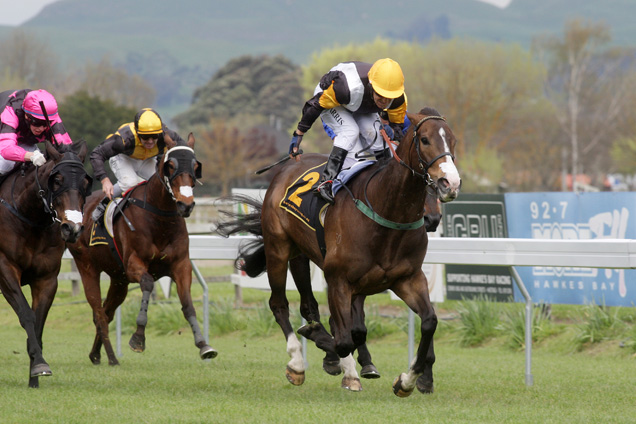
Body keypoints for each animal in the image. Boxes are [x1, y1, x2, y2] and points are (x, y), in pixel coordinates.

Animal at [0, 140, 92, 388]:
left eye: (86, 182)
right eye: (57, 180)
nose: (72, 228)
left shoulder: (47, 279)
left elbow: (39, 321)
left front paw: (35, 373)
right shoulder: (6, 269)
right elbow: (26, 315)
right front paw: (39, 364)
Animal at [66, 133, 217, 368]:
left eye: (195, 166)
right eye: (170, 166)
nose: (186, 205)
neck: (160, 219)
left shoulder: (181, 265)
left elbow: (187, 304)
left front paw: (204, 345)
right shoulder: (133, 264)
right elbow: (147, 283)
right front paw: (138, 338)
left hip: (118, 279)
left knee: (107, 312)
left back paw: (96, 354)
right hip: (87, 267)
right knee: (99, 313)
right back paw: (111, 357)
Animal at [217, 107, 458, 394]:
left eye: (453, 141)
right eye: (425, 140)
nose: (449, 183)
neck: (385, 210)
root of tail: (287, 166)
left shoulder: (407, 278)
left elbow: (429, 321)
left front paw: (409, 379)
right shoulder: (339, 279)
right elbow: (345, 338)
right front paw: (332, 353)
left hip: (301, 255)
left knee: (310, 305)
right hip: (278, 248)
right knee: (279, 304)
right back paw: (298, 362)